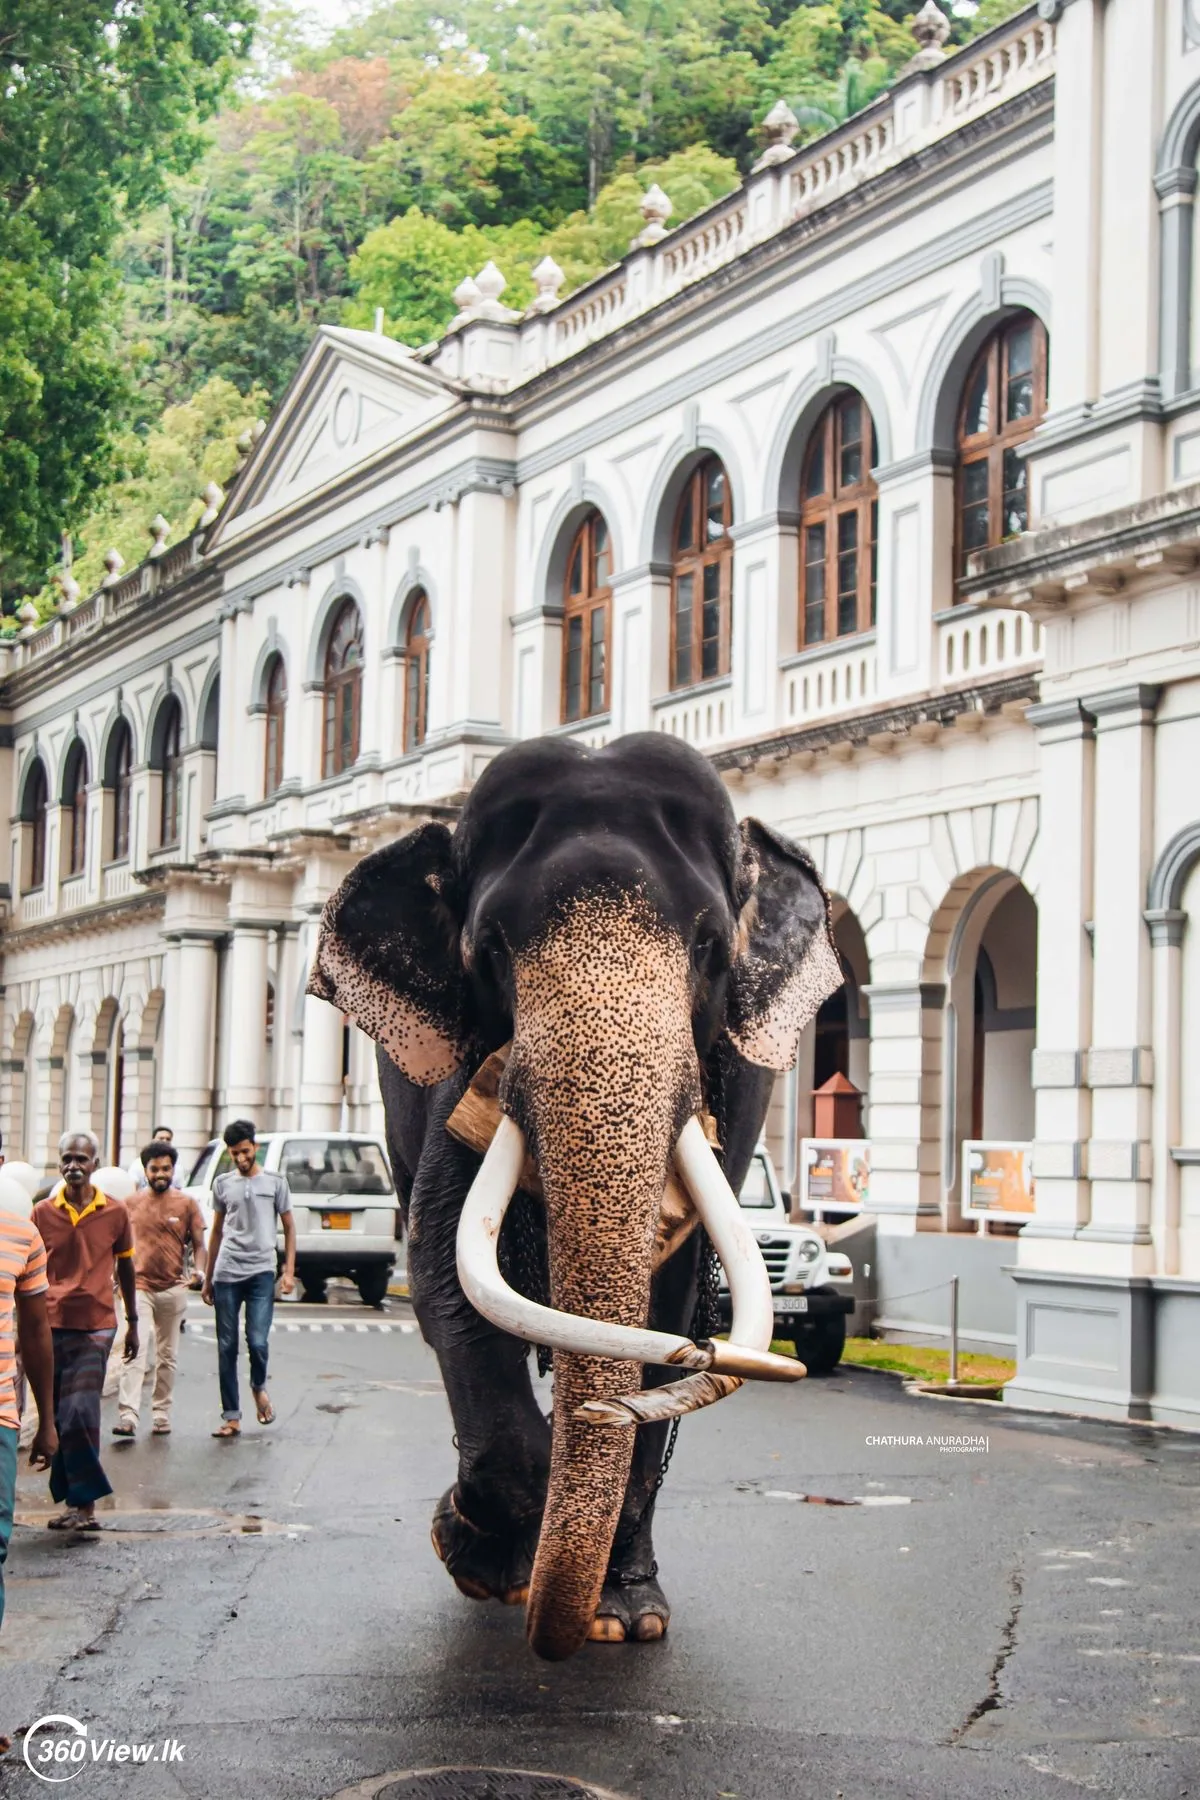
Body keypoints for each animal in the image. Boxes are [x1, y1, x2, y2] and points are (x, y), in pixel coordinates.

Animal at [307, 732, 841, 1661]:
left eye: (711, 949)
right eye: (487, 950)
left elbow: (669, 1302)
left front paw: (618, 1619)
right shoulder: (459, 1066)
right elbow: (442, 1271)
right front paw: (476, 1558)